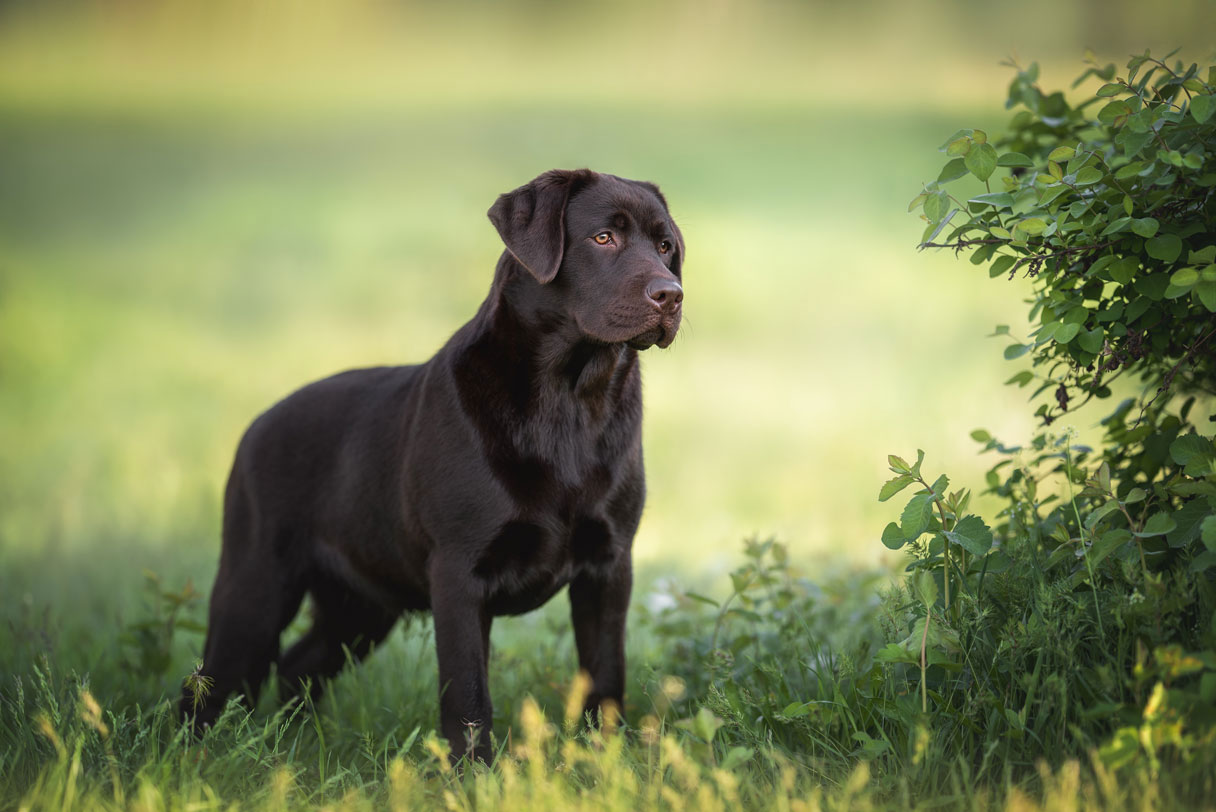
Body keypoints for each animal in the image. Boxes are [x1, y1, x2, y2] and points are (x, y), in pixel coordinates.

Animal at [186, 170, 690, 763]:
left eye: (665, 246)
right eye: (603, 238)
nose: (670, 294)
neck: (569, 400)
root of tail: (257, 424)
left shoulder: (608, 566)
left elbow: (605, 677)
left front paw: (605, 763)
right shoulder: (459, 572)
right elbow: (469, 697)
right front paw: (475, 775)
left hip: (361, 604)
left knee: (298, 665)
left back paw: (301, 744)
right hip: (255, 585)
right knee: (207, 685)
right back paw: (196, 759)